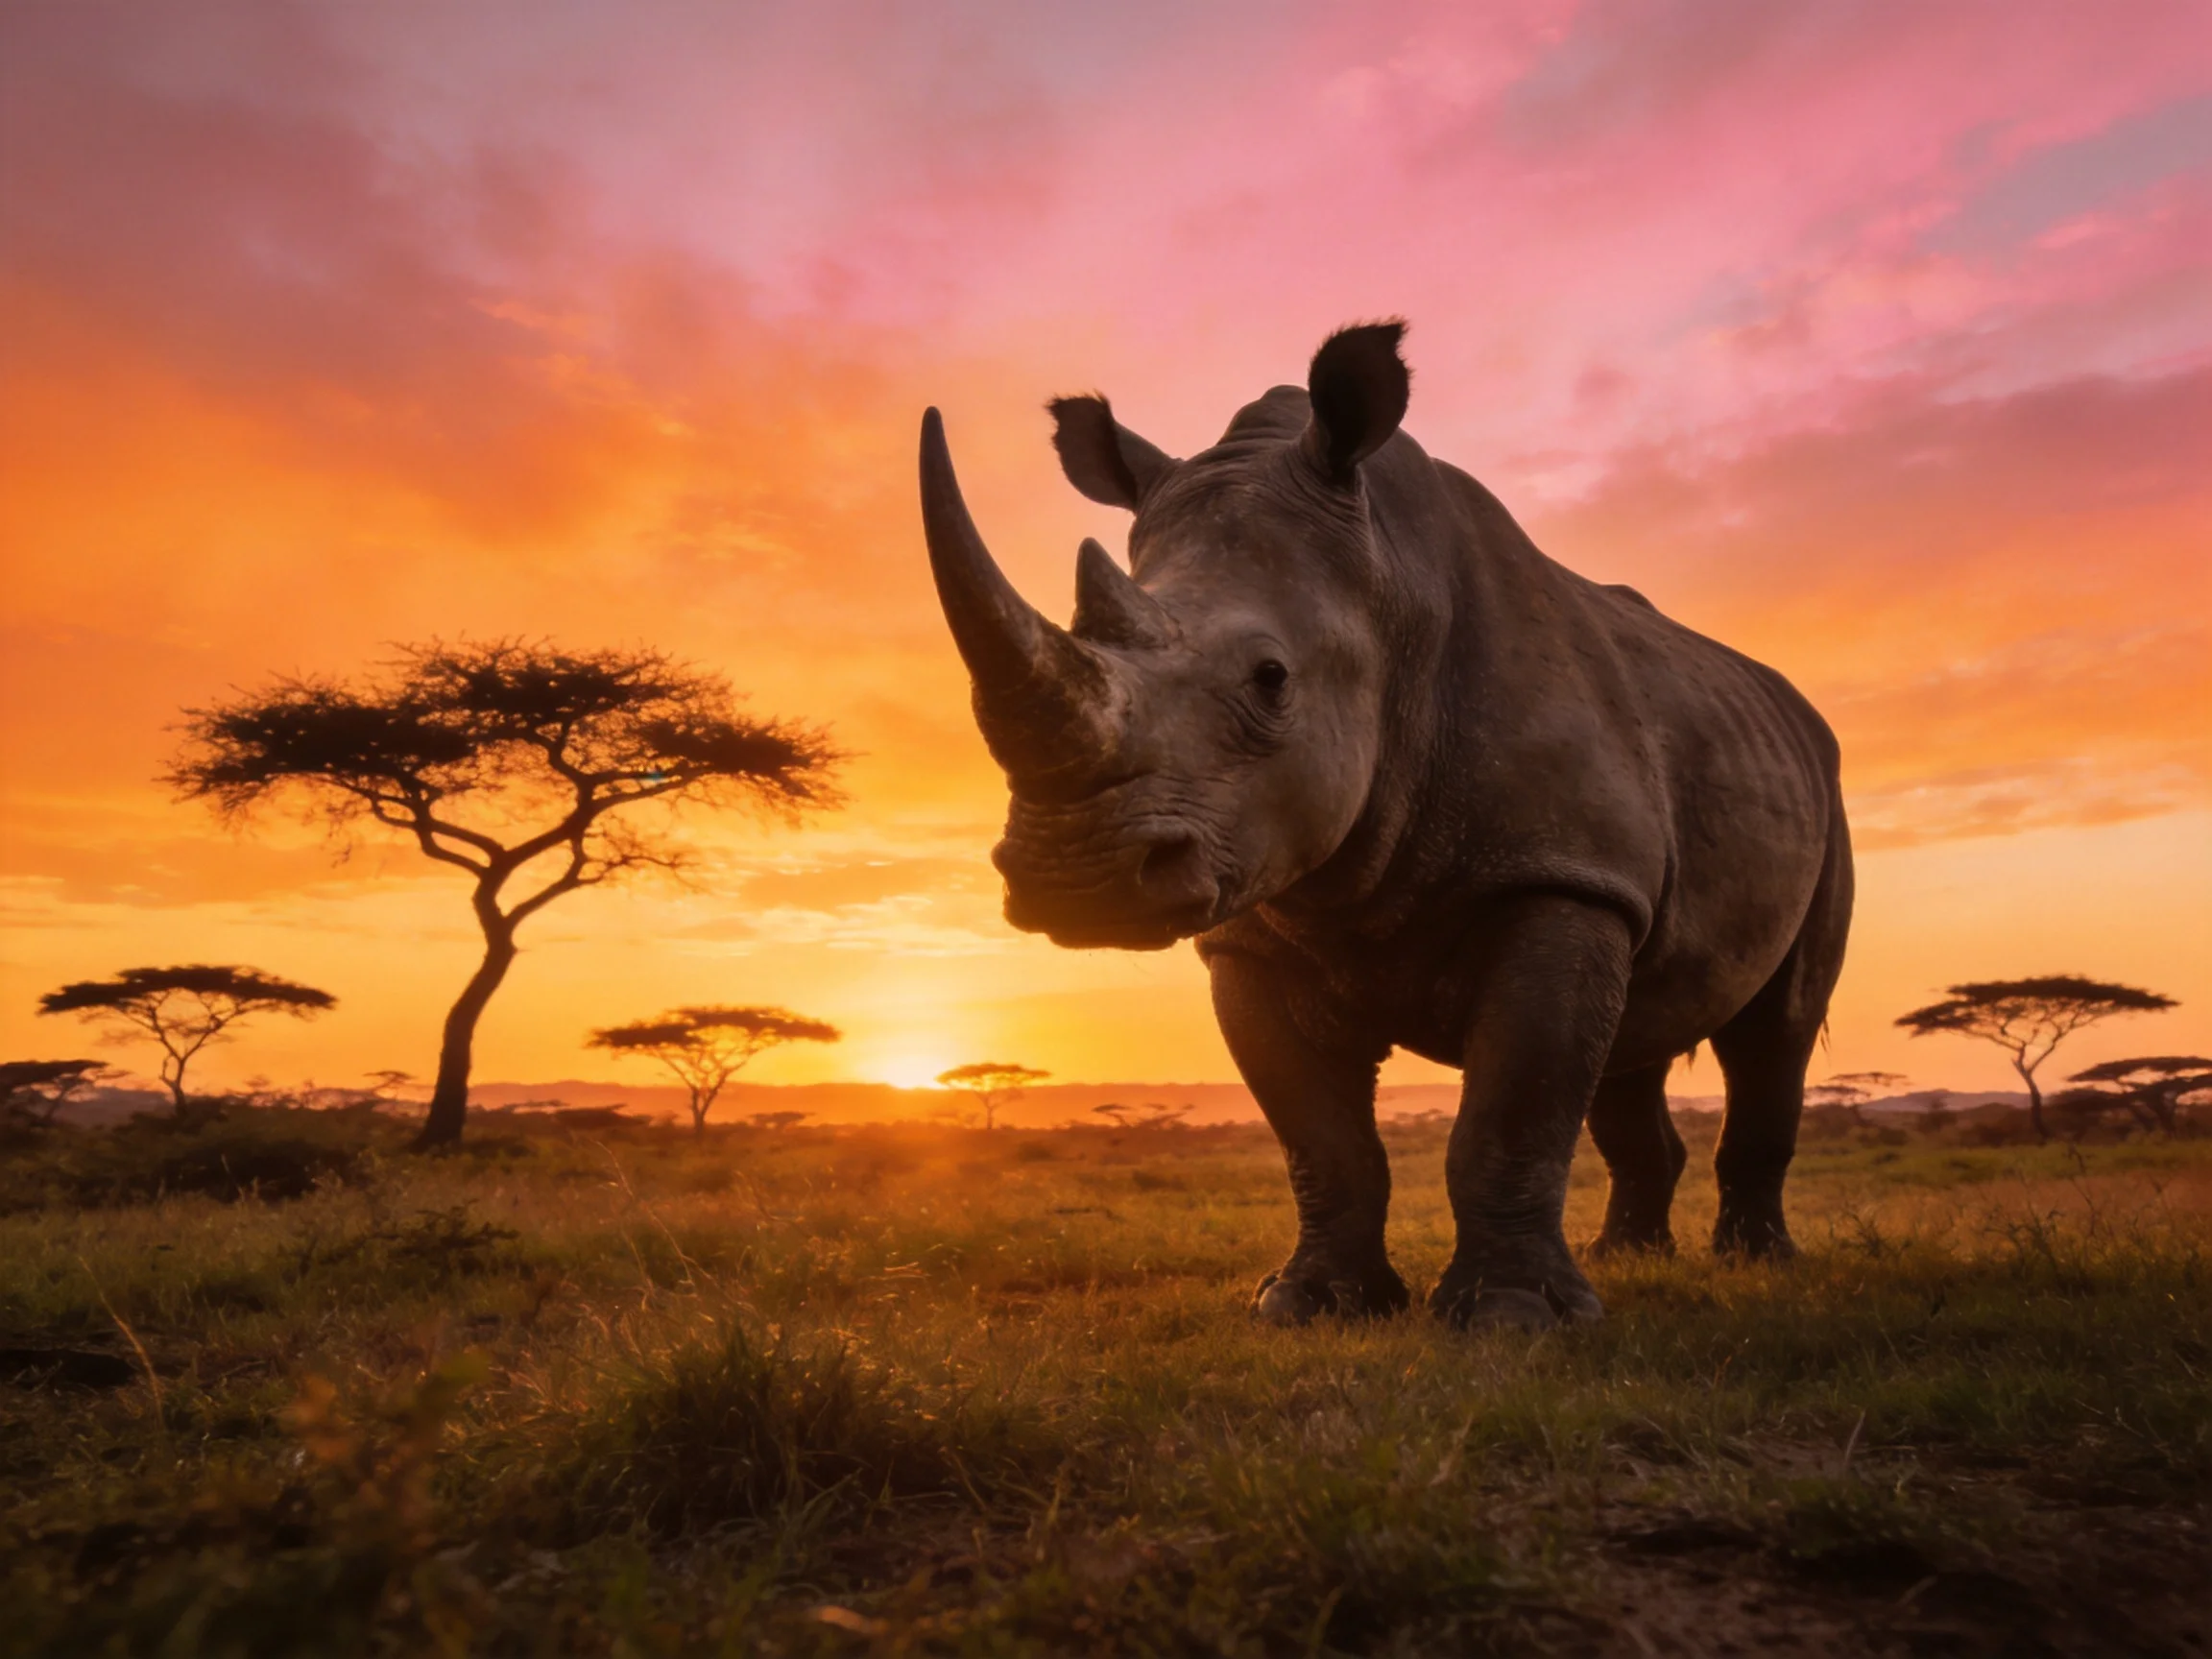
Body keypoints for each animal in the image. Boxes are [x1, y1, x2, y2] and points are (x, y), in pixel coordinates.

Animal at [918, 322, 1852, 1330]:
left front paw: (1509, 1321)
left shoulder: (1557, 874)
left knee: (1775, 1027)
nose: (1075, 877)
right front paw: (1311, 1306)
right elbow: (1321, 1140)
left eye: (1271, 679)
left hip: (1817, 790)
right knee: (1635, 1032)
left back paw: (1758, 1267)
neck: (1390, 599)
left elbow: (1511, 1113)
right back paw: (1629, 1261)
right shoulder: (1256, 927)